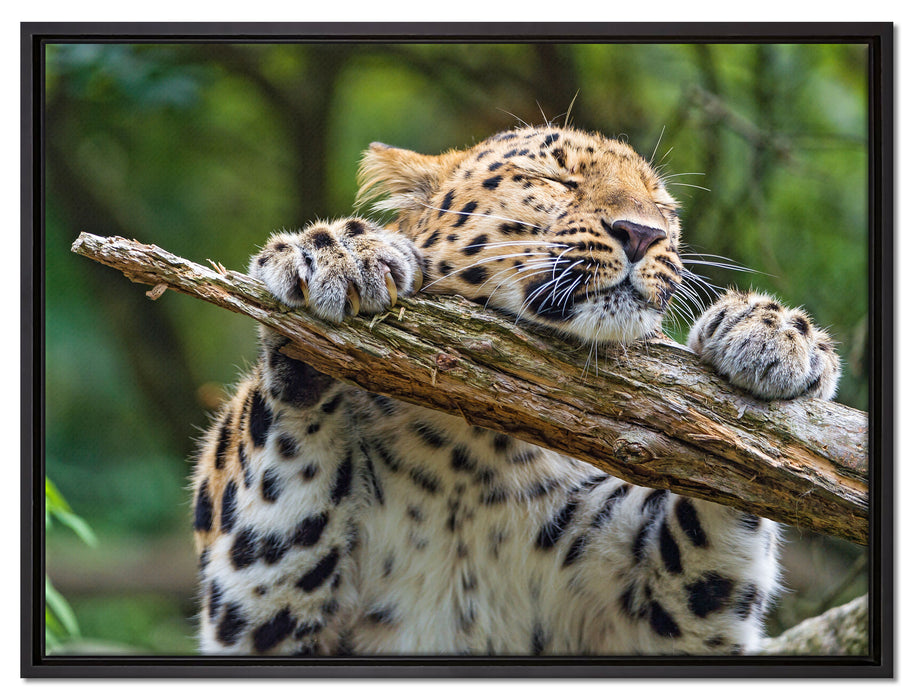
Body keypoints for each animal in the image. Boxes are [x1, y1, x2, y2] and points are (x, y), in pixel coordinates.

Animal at [191, 124, 840, 656]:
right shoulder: (257, 615)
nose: (642, 233)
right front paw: (334, 255)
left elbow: (723, 494)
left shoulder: (655, 618)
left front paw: (774, 335)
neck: (474, 449)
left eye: (663, 206)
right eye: (554, 179)